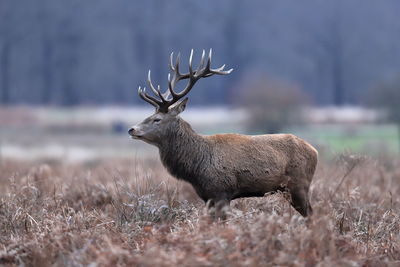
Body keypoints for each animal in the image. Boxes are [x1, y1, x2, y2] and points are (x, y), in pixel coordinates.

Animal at [129, 49, 318, 218]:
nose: (132, 129)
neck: (196, 167)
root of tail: (314, 151)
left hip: (299, 185)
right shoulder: (207, 197)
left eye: (157, 119)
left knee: (311, 215)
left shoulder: (221, 191)